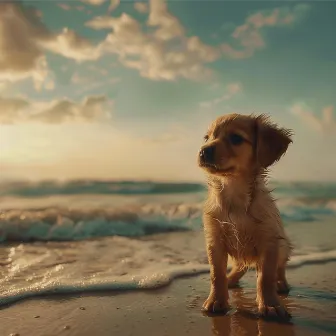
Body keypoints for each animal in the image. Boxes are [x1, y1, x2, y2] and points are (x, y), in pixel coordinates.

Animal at [198, 112, 292, 318]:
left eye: (236, 138)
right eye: (207, 138)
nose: (203, 151)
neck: (234, 192)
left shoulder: (269, 240)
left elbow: (265, 277)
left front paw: (270, 304)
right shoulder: (215, 239)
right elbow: (216, 274)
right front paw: (216, 300)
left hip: (283, 246)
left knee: (280, 268)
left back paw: (281, 284)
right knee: (240, 266)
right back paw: (231, 279)